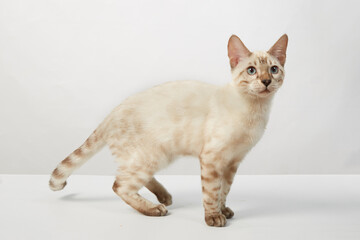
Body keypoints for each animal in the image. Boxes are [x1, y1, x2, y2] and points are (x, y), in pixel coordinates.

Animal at [49, 33, 288, 227]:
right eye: (251, 71)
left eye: (273, 69)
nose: (266, 81)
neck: (255, 111)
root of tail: (112, 112)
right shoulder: (212, 158)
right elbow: (212, 191)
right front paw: (213, 217)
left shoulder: (233, 162)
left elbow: (224, 190)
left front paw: (224, 211)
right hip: (151, 156)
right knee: (120, 185)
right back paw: (155, 208)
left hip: (158, 156)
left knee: (132, 178)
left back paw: (163, 196)